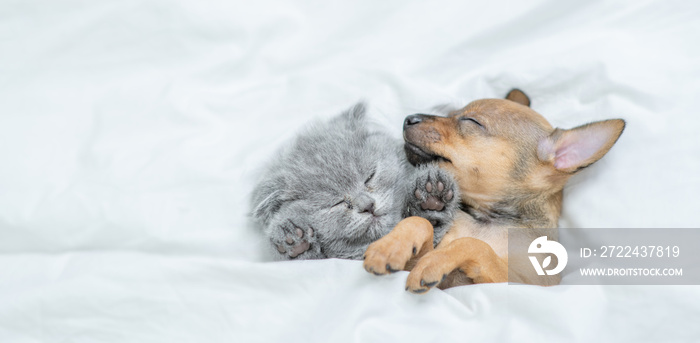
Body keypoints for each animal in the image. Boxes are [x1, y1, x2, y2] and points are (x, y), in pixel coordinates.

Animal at [364, 90, 628, 292]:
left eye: (472, 121)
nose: (409, 118)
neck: (487, 221)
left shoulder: (521, 282)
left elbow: (473, 244)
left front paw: (435, 261)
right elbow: (419, 223)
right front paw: (388, 248)